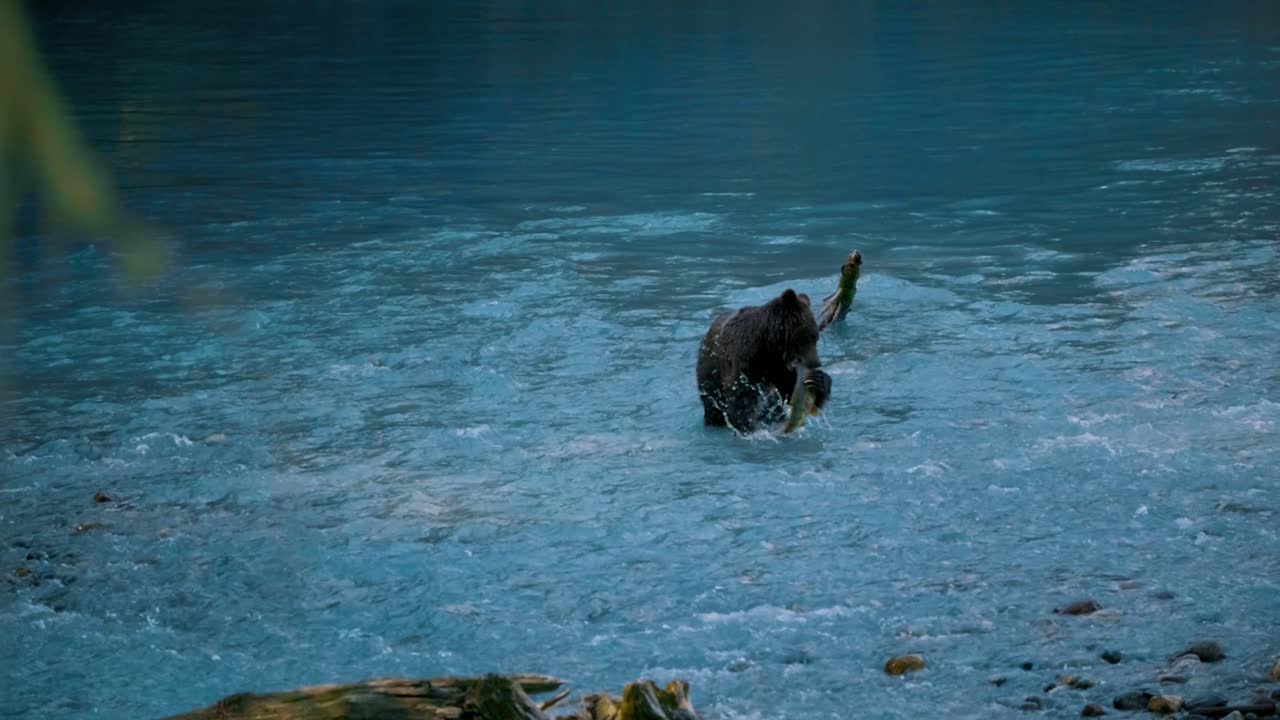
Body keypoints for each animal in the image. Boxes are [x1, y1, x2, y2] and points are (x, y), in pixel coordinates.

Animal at [696, 288, 832, 432]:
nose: (816, 363)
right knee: (713, 403)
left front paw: (819, 380)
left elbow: (789, 390)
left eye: (816, 337)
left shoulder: (778, 367)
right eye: (808, 337)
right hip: (710, 375)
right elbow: (740, 399)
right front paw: (748, 427)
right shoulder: (743, 361)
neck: (766, 348)